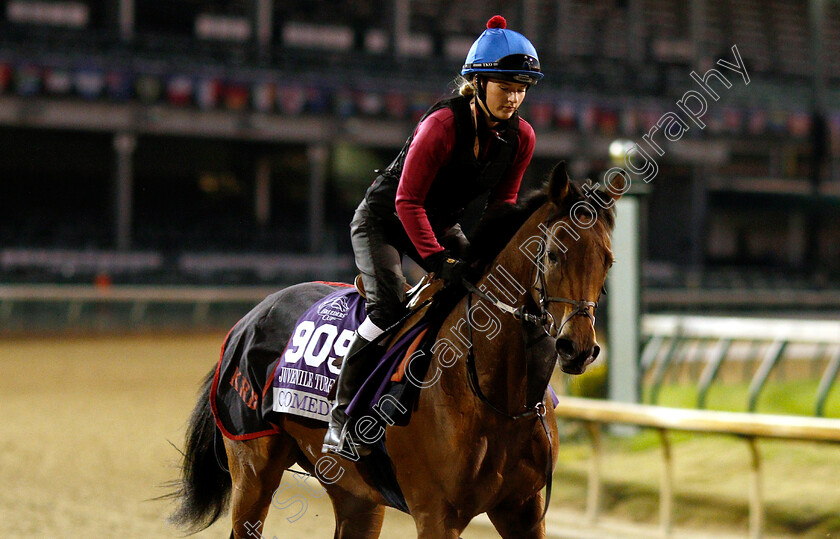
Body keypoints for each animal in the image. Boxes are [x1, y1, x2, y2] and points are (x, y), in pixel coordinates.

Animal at [169, 165, 624, 539]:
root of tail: (250, 317)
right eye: (554, 254)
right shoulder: (436, 514)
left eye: (608, 260)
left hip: (354, 492)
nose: (578, 348)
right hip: (252, 466)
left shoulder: (523, 510)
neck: (496, 397)